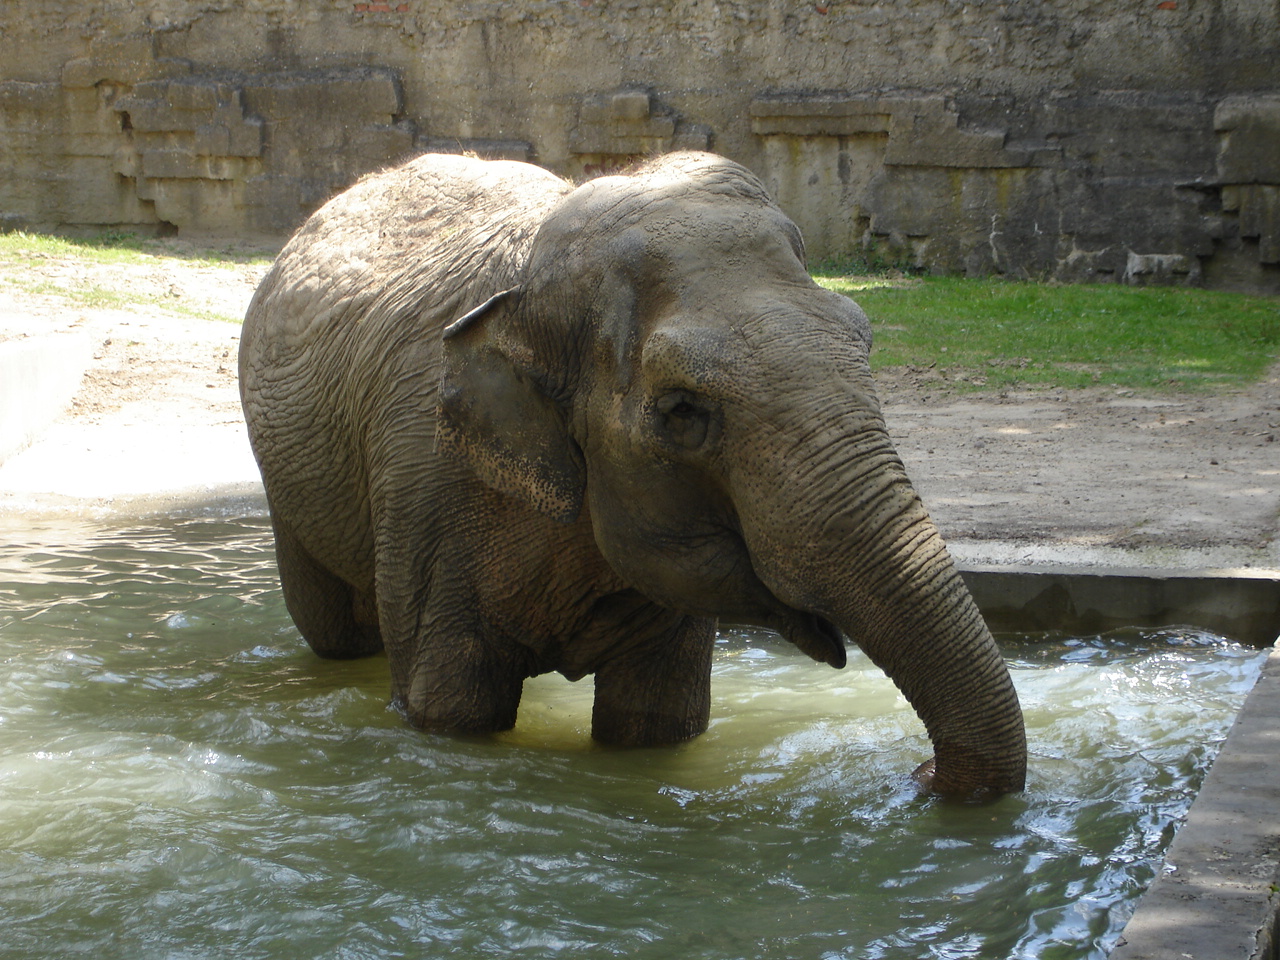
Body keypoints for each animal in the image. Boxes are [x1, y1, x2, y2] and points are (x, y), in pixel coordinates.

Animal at [238, 150, 1026, 798]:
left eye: (863, 342)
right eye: (682, 410)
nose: (921, 774)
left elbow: (656, 719)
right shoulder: (421, 476)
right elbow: (452, 707)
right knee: (334, 631)